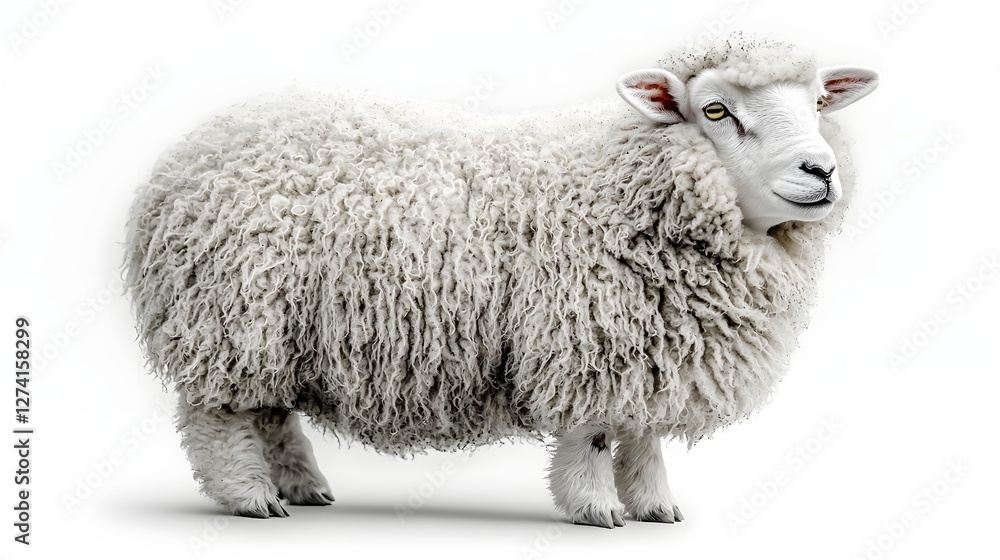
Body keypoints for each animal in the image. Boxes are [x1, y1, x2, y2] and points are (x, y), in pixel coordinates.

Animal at [124, 33, 878, 526]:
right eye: (716, 110)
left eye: (819, 103)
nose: (821, 171)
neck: (633, 186)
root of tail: (187, 151)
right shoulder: (587, 340)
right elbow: (594, 435)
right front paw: (596, 508)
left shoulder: (651, 347)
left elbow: (644, 436)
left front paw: (656, 505)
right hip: (231, 317)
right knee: (221, 419)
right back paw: (250, 497)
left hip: (278, 331)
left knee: (272, 414)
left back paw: (303, 487)